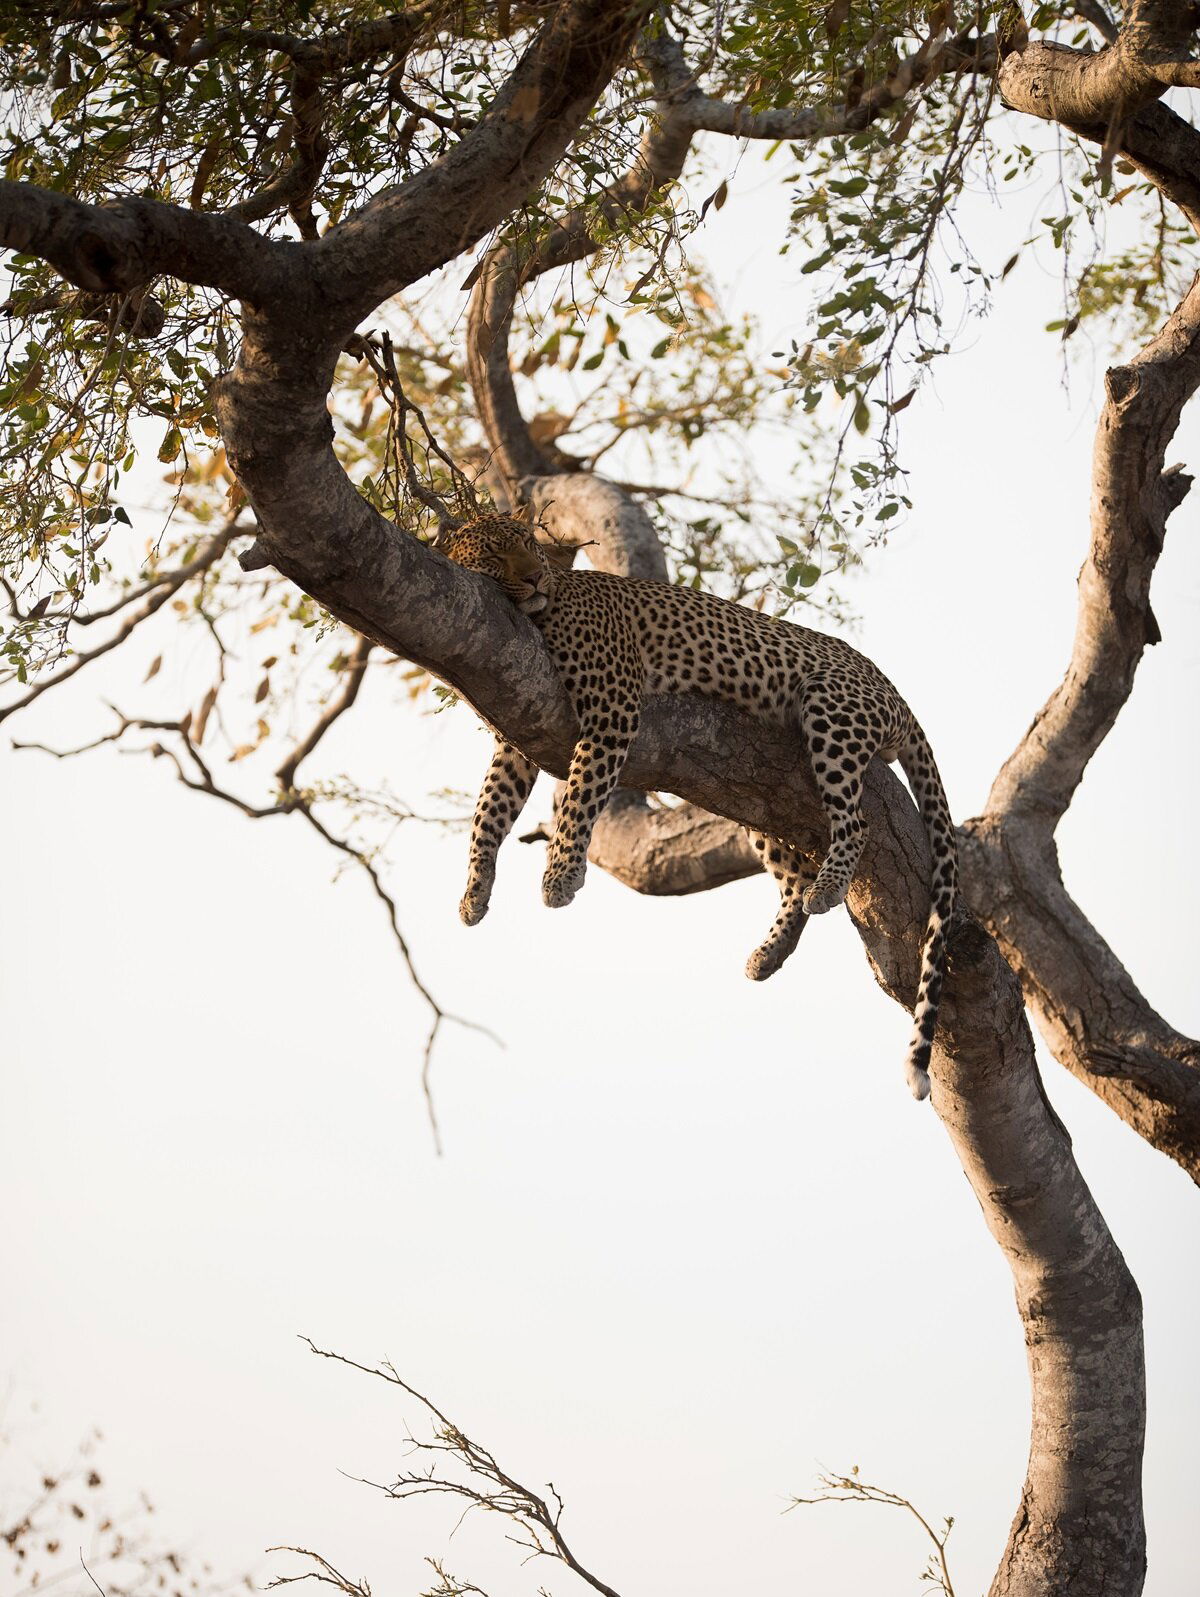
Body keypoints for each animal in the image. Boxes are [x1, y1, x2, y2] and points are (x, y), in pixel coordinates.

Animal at [441, 511, 958, 1098]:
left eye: (529, 544)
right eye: (493, 553)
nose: (533, 578)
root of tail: (895, 691)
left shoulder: (613, 711)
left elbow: (579, 797)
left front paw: (560, 877)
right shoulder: (517, 735)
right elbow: (488, 812)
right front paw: (474, 893)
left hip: (831, 708)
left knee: (857, 821)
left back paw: (828, 887)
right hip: (753, 801)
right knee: (792, 877)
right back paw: (768, 954)